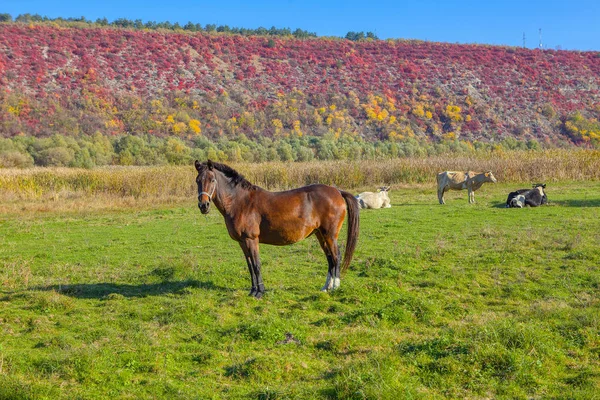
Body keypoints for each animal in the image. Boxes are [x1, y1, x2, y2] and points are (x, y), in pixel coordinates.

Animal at [195, 161, 358, 298]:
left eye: (212, 180)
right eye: (197, 180)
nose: (203, 205)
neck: (240, 202)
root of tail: (337, 191)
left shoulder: (251, 240)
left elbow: (256, 265)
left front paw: (259, 292)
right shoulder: (242, 242)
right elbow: (250, 266)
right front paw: (252, 290)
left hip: (330, 235)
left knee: (336, 257)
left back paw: (335, 287)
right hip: (320, 235)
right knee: (330, 258)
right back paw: (326, 288)